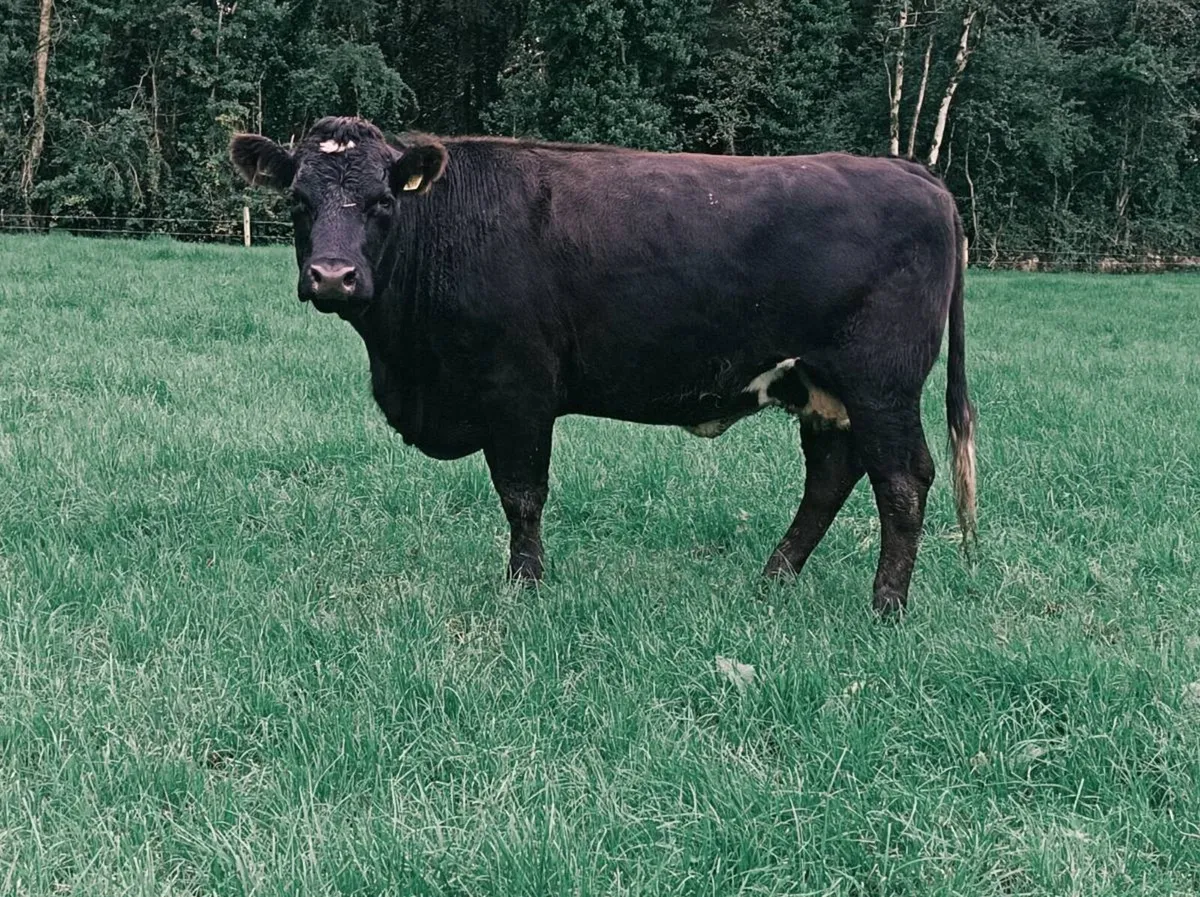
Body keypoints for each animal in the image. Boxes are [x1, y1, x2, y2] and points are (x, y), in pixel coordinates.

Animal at [230, 116, 976, 615]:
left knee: (903, 480)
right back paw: (773, 578)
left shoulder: (518, 389)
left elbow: (522, 494)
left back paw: (885, 606)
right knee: (830, 477)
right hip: (822, 388)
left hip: (880, 384)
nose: (333, 276)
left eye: (381, 202)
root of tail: (908, 169)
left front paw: (525, 586)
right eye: (298, 202)